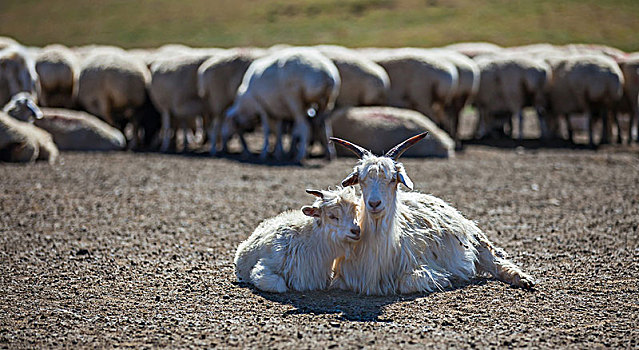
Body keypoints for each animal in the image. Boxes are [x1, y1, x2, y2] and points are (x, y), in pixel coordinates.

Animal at [330, 134, 536, 296]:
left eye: (392, 179)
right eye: (361, 180)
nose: (374, 204)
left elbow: (406, 283)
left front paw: (446, 278)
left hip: (478, 241)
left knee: (496, 262)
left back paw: (524, 279)